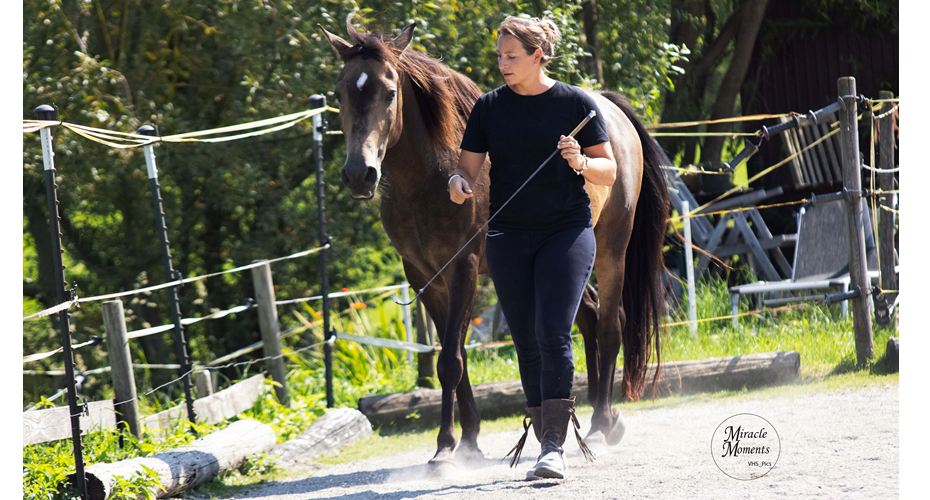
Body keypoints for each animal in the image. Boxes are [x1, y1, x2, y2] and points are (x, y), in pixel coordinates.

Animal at [320, 18, 669, 466]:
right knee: (589, 317)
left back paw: (602, 422)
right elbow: (458, 358)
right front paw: (467, 441)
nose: (358, 175)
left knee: (611, 323)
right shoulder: (423, 277)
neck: (426, 180)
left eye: (390, 92)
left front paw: (444, 449)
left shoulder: (464, 267)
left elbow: (449, 361)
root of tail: (609, 109)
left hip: (611, 248)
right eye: (339, 93)